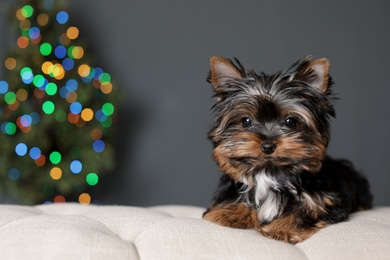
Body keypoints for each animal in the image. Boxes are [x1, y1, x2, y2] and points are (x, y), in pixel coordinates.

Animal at [203, 55, 374, 244]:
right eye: (246, 121)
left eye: (290, 121)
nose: (268, 145)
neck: (270, 172)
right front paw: (229, 213)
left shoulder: (327, 201)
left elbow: (305, 211)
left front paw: (280, 228)